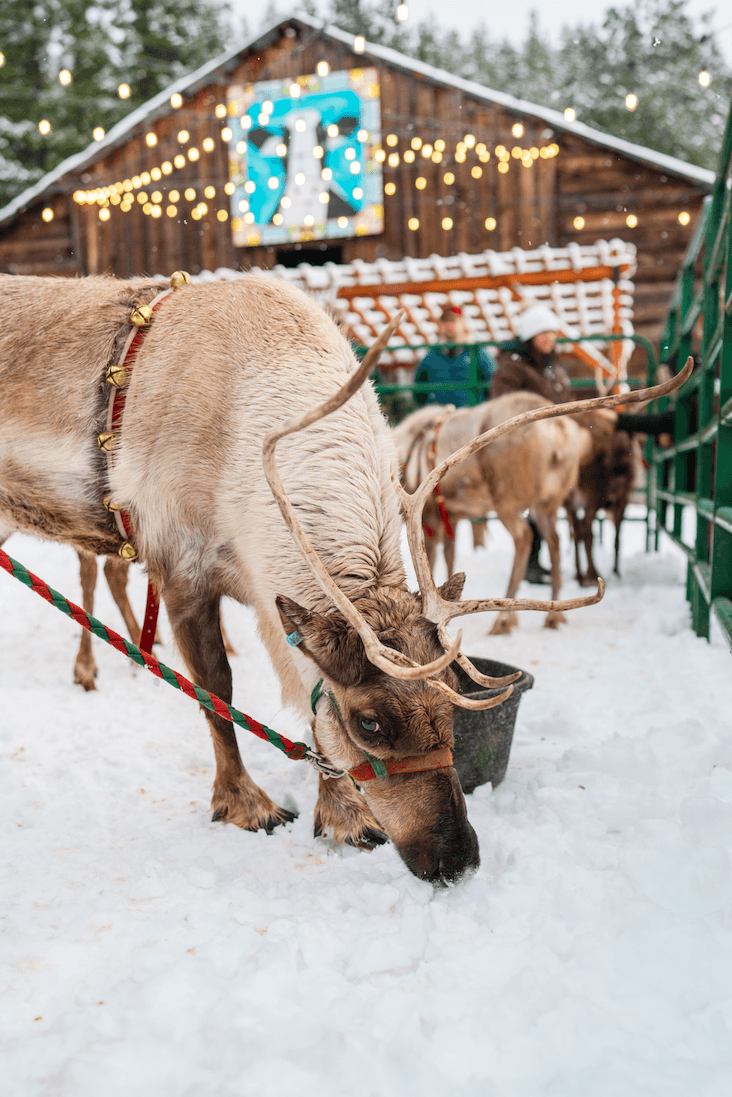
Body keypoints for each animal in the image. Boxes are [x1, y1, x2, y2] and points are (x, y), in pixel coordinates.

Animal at [0, 271, 690, 885]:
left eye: (452, 703)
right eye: (371, 724)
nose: (459, 860)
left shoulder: (266, 597)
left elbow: (308, 703)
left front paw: (344, 817)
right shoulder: (179, 567)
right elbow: (217, 693)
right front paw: (247, 805)